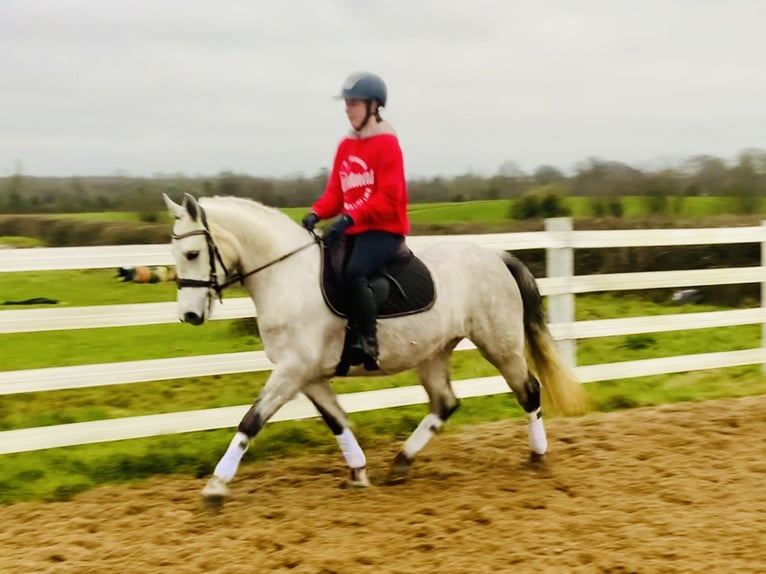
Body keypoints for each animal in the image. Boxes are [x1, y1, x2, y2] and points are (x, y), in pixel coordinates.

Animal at [164, 195, 588, 508]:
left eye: (191, 254)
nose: (189, 315)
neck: (286, 276)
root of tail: (497, 257)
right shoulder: (307, 375)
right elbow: (337, 421)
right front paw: (359, 473)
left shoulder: (292, 371)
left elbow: (251, 421)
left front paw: (215, 487)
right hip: (434, 351)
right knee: (445, 403)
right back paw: (401, 463)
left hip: (500, 343)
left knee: (528, 390)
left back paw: (537, 457)